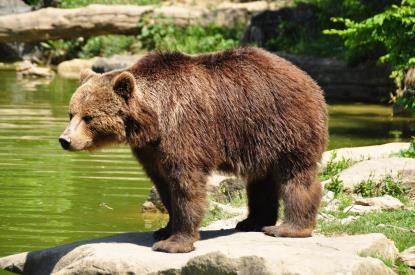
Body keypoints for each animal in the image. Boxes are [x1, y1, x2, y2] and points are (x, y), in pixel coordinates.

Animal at [60, 47, 330, 254]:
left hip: (284, 124)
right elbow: (163, 185)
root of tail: (309, 79)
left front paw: (173, 243)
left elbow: (185, 186)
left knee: (296, 176)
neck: (153, 120)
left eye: (89, 117)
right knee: (261, 181)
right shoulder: (151, 150)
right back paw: (251, 221)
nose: (65, 140)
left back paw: (288, 228)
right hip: (258, 142)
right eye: (71, 113)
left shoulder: (183, 130)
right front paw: (163, 230)